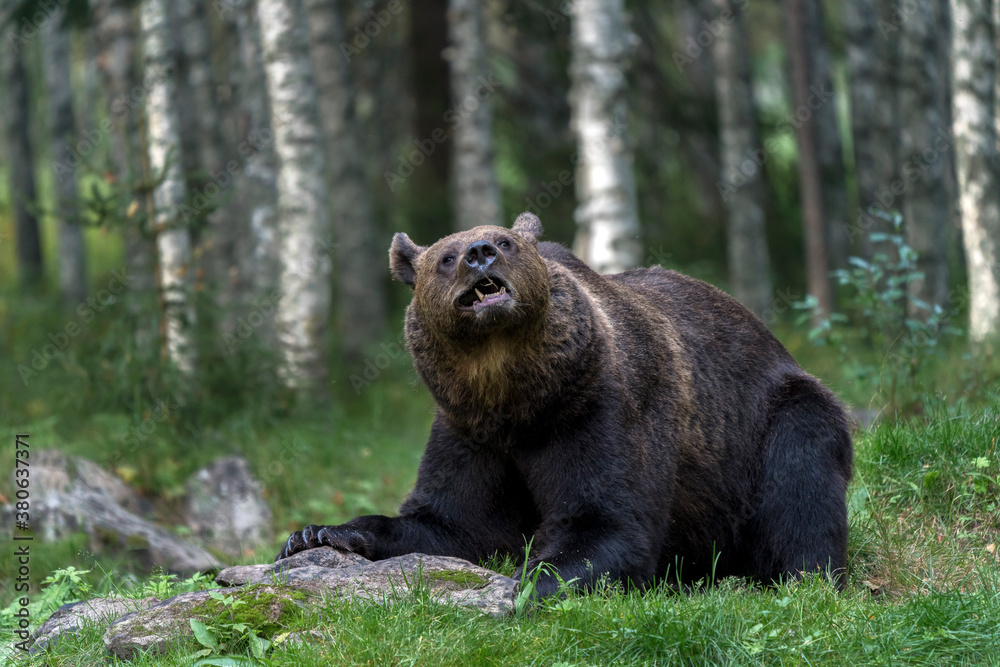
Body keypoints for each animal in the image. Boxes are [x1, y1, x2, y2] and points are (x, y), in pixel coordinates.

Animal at [277, 212, 853, 598]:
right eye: (445, 256)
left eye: (506, 241)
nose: (479, 252)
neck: (515, 393)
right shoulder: (469, 428)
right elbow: (450, 521)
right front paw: (317, 533)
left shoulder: (599, 406)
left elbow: (605, 519)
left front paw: (529, 585)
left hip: (771, 414)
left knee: (800, 479)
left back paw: (804, 580)